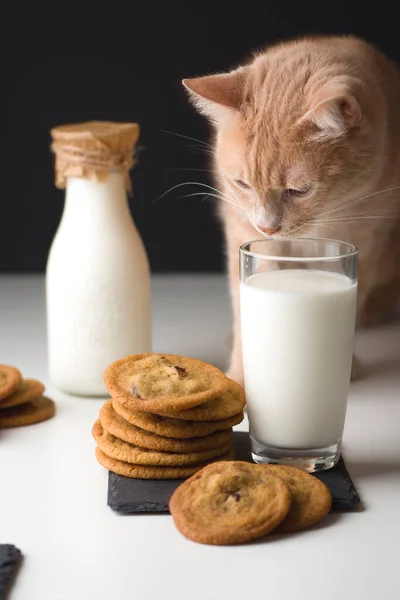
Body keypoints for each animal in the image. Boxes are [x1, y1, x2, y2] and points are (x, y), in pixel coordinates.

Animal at [184, 36, 400, 384]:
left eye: (299, 191)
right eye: (242, 184)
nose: (267, 228)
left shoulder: (367, 235)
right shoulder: (243, 230)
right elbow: (245, 306)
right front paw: (243, 375)